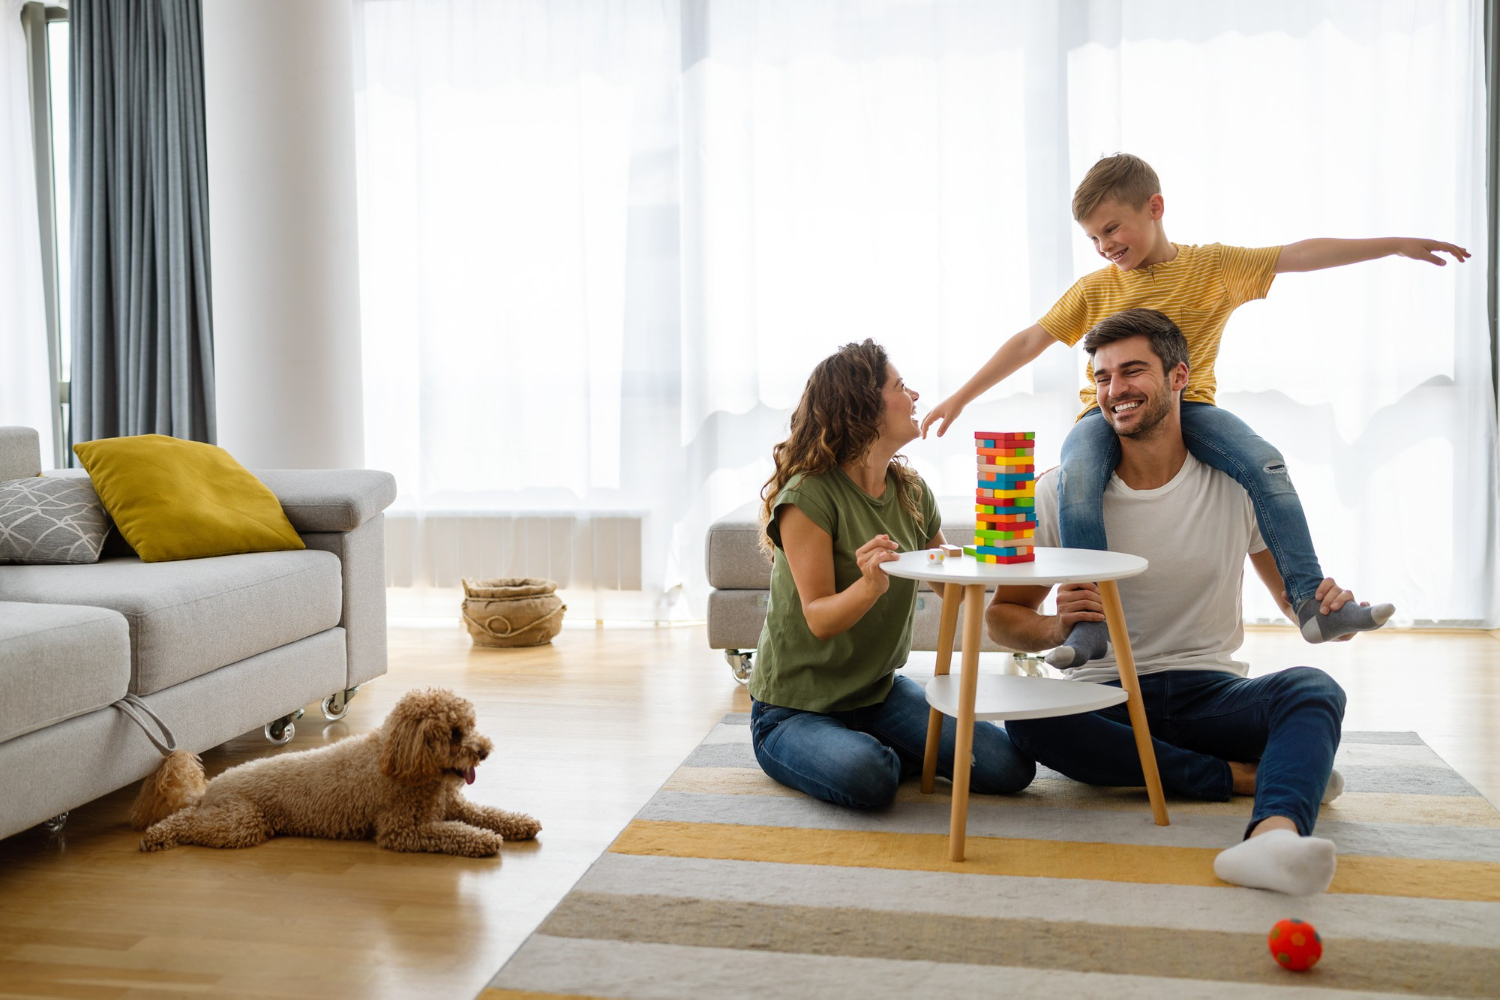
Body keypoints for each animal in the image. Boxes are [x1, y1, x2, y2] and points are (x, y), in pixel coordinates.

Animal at [129, 689, 540, 863]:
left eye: (470, 725)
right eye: (454, 733)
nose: (484, 750)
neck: (398, 761)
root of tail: (210, 788)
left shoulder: (452, 804)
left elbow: (487, 812)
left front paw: (521, 823)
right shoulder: (402, 829)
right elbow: (453, 833)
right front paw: (484, 840)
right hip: (240, 823)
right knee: (185, 821)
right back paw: (156, 836)